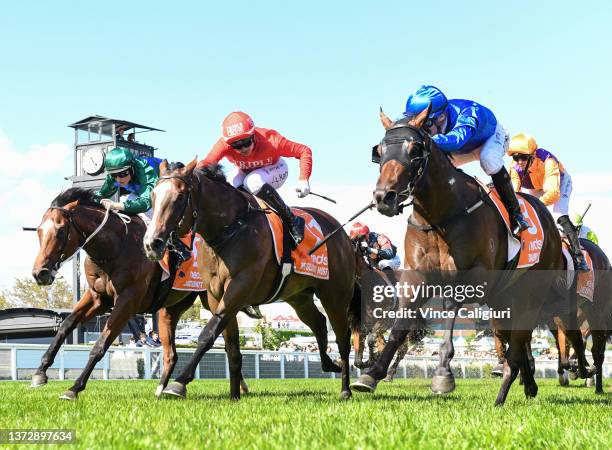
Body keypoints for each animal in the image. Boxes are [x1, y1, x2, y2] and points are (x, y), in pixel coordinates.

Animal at [31, 188, 249, 400]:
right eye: (39, 231)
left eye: (60, 231)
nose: (39, 273)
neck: (115, 246)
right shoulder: (97, 297)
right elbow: (66, 325)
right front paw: (40, 372)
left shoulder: (128, 300)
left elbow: (101, 344)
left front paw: (74, 388)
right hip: (170, 309)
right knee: (172, 354)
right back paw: (164, 390)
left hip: (215, 299)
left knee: (227, 341)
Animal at [143, 162, 360, 400]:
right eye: (153, 196)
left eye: (180, 197)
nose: (152, 243)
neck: (230, 227)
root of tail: (344, 235)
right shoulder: (216, 295)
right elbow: (231, 346)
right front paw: (234, 395)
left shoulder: (241, 285)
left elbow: (208, 333)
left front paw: (179, 383)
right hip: (299, 297)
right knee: (320, 323)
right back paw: (330, 364)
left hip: (335, 295)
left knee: (343, 338)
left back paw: (346, 388)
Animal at [354, 106, 592, 408]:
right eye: (380, 150)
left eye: (414, 149)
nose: (384, 197)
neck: (441, 216)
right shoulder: (416, 277)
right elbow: (400, 324)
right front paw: (372, 374)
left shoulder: (473, 275)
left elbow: (451, 307)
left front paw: (443, 373)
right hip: (505, 298)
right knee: (517, 338)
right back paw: (528, 384)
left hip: (533, 294)